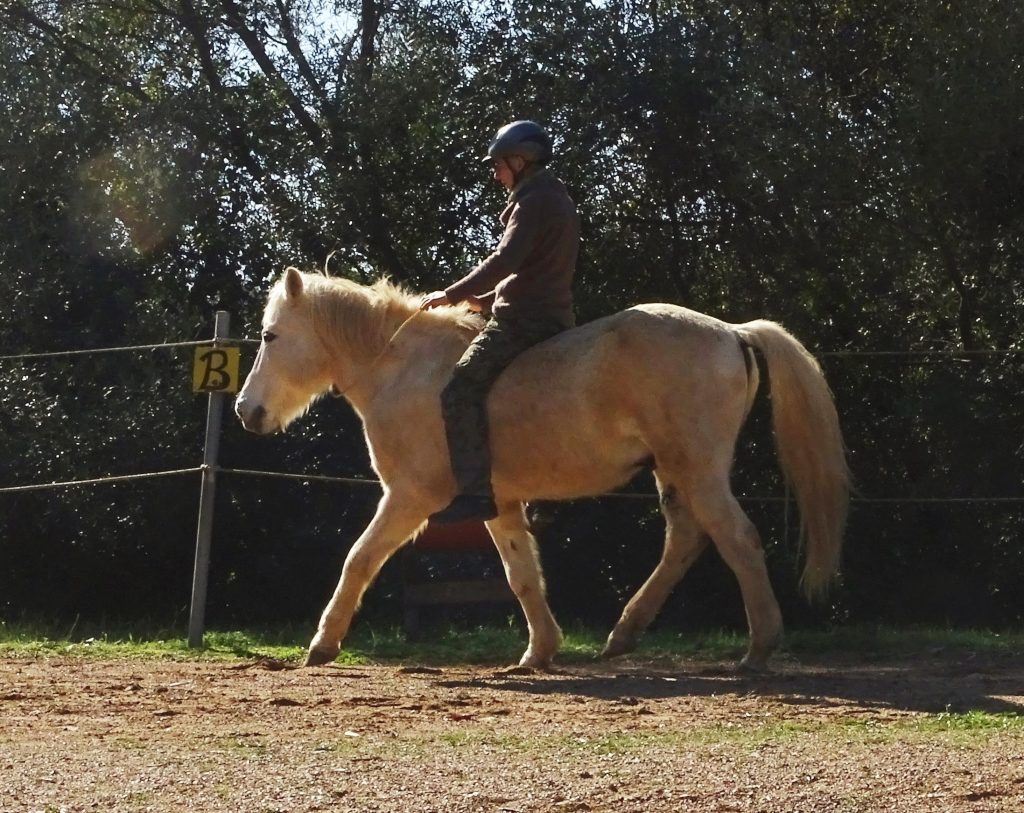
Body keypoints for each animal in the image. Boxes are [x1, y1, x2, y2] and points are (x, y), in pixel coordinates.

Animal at [234, 266, 847, 663]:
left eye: (270, 335)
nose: (246, 411)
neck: (402, 367)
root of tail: (733, 332)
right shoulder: (499, 502)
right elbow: (522, 574)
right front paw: (540, 651)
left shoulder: (408, 498)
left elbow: (359, 559)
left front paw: (322, 644)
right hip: (675, 473)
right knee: (686, 541)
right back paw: (623, 636)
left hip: (698, 470)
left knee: (737, 539)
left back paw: (759, 647)